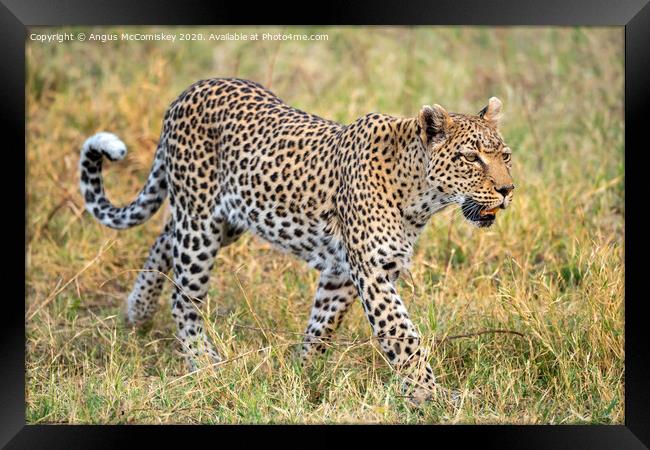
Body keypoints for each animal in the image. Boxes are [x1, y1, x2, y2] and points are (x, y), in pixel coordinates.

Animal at [77, 77, 512, 404]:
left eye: (504, 155)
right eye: (471, 158)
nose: (508, 190)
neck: (420, 195)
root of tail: (189, 91)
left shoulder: (344, 272)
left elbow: (322, 326)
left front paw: (304, 374)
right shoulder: (372, 271)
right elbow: (403, 336)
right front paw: (431, 396)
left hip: (224, 221)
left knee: (163, 241)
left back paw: (137, 312)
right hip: (200, 223)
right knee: (184, 297)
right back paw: (204, 362)